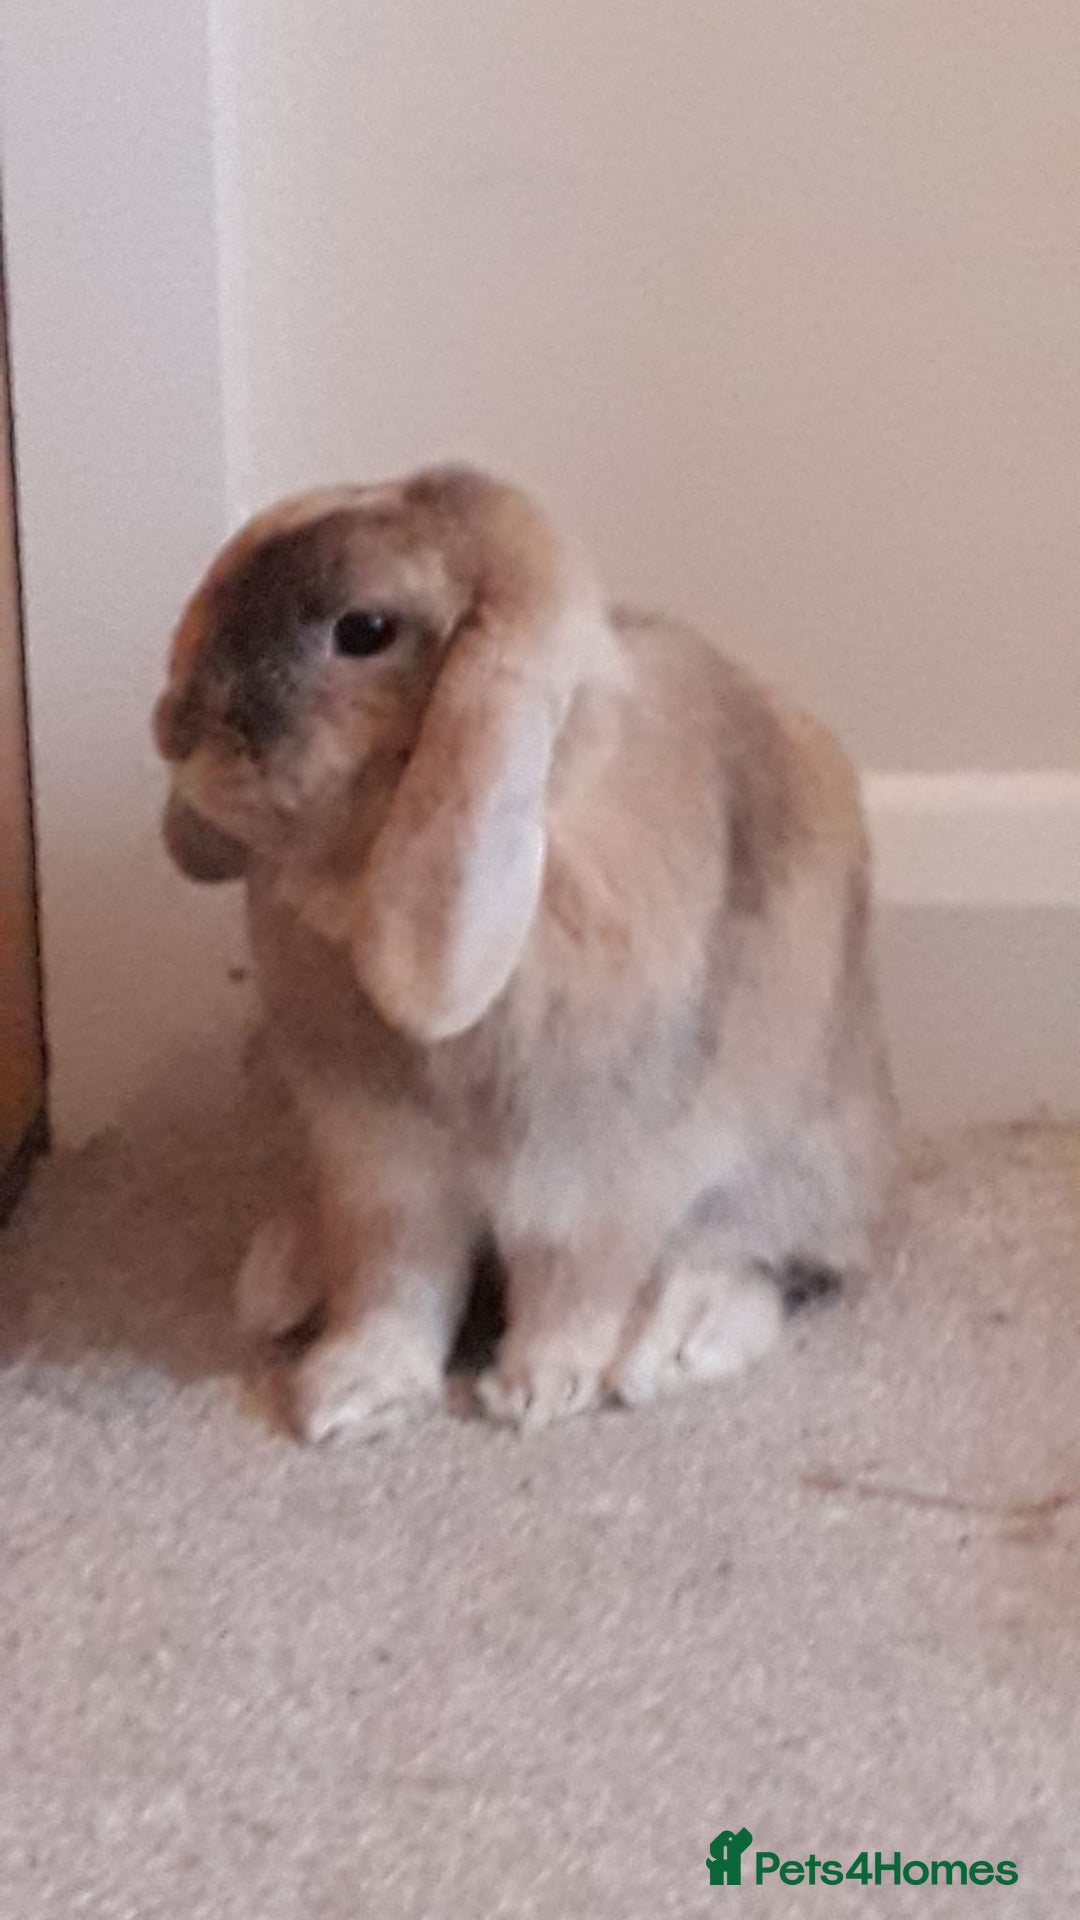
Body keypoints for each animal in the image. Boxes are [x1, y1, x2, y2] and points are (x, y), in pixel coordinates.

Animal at [154, 465, 899, 1442]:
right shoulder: (378, 1168)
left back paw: (674, 1344)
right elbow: (392, 1285)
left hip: (789, 1171)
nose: (178, 729)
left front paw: (537, 1389)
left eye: (364, 631)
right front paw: (348, 1395)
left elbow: (570, 1282)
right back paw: (280, 1278)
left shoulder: (592, 1173)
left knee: (759, 1260)